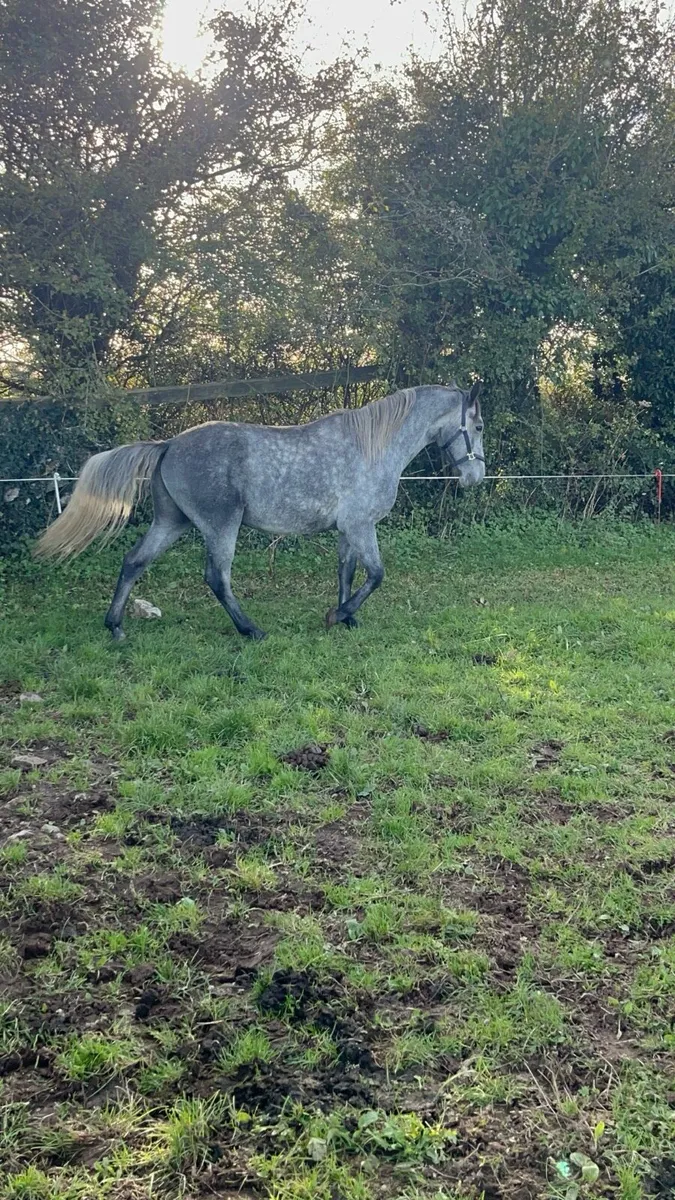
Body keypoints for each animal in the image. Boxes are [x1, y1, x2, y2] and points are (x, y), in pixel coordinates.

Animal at [35, 382, 485, 640]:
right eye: (478, 427)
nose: (476, 476)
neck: (372, 447)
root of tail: (169, 445)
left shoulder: (348, 529)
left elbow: (347, 572)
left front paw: (347, 620)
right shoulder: (361, 526)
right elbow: (376, 575)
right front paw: (337, 616)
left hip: (171, 522)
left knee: (133, 562)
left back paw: (115, 627)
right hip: (221, 525)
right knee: (217, 577)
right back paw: (250, 629)